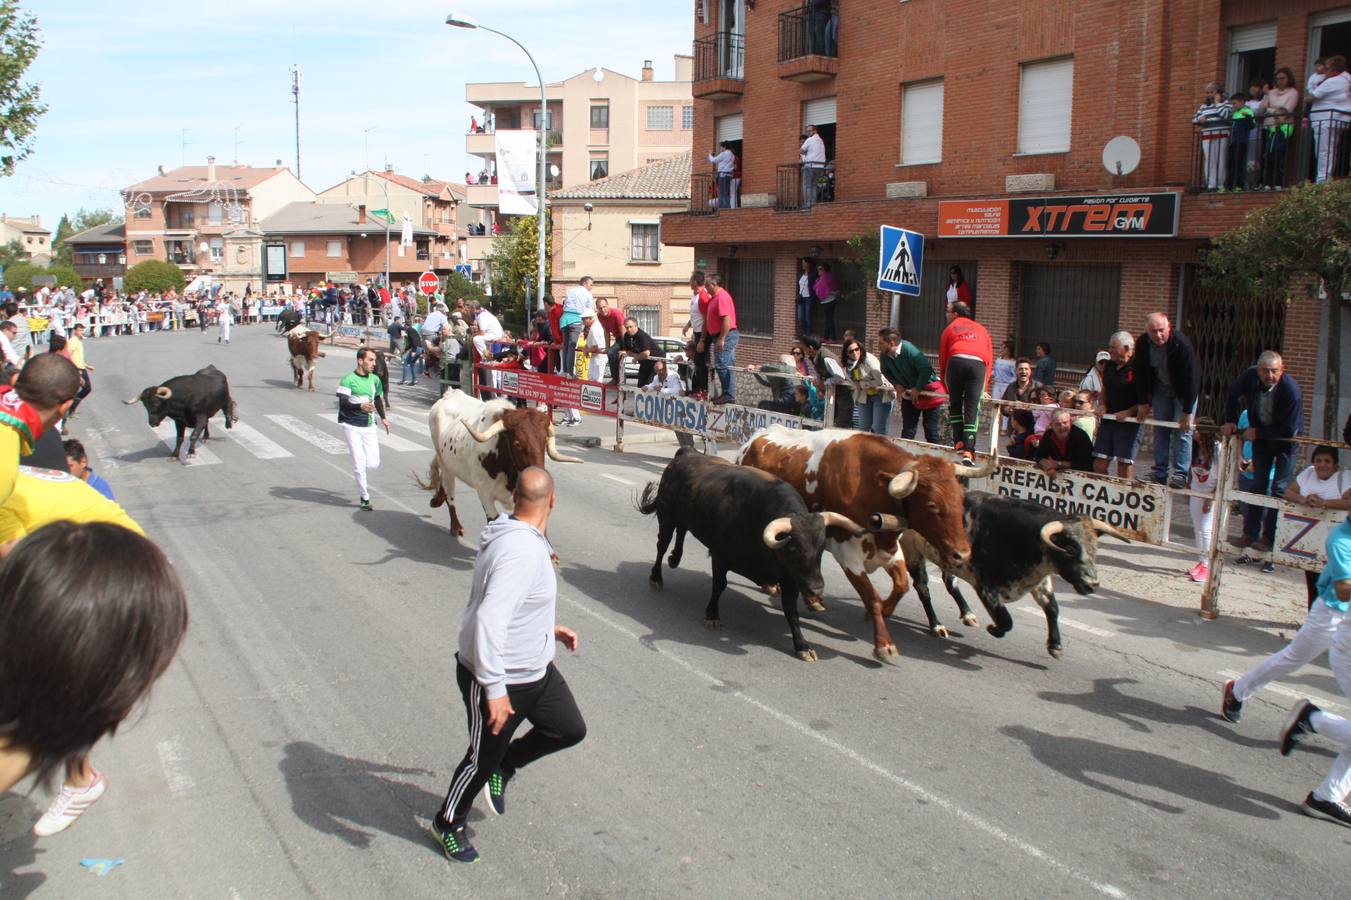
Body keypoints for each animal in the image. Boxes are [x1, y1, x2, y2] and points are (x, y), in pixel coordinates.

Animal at [418, 391, 583, 532]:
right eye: (517, 443)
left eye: (544, 441)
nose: (539, 474)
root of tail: (450, 393)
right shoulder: (484, 493)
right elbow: (493, 520)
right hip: (446, 466)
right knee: (450, 493)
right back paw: (456, 527)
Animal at [640, 448, 870, 659]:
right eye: (793, 547)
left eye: (821, 547)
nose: (816, 589)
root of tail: (686, 453)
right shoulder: (720, 557)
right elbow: (719, 586)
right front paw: (712, 615)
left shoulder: (790, 577)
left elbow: (791, 611)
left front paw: (802, 645)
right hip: (666, 517)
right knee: (662, 545)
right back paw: (656, 576)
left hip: (683, 516)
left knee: (682, 531)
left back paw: (675, 559)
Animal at [734, 424, 988, 662]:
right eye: (931, 505)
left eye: (961, 498)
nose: (962, 553)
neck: (870, 486)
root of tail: (757, 436)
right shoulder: (848, 555)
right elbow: (873, 597)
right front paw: (884, 644)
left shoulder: (891, 551)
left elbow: (901, 586)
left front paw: (885, 611)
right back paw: (775, 587)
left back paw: (812, 600)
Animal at [902, 486, 1134, 656]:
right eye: (1069, 548)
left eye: (1094, 547)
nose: (1092, 584)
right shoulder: (986, 587)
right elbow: (1006, 620)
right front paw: (994, 629)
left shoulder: (1040, 580)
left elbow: (1053, 609)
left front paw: (1055, 646)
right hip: (912, 551)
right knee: (923, 588)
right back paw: (936, 625)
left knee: (950, 582)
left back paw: (967, 614)